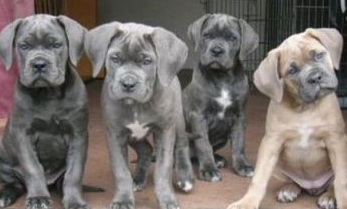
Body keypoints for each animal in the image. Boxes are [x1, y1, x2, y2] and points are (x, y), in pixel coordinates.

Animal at [0, 14, 89, 209]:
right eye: (24, 46)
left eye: (56, 45)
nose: (39, 64)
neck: (48, 93)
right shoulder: (22, 134)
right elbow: (33, 169)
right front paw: (38, 198)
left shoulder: (78, 134)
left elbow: (74, 173)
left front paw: (74, 201)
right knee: (15, 183)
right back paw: (6, 195)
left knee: (62, 181)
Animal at [84, 21, 193, 209]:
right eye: (115, 58)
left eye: (147, 61)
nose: (128, 84)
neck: (137, 105)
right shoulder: (115, 133)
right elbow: (121, 171)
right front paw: (122, 199)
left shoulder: (164, 130)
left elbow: (163, 169)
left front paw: (167, 199)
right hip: (133, 136)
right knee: (146, 149)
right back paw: (138, 179)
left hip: (177, 120)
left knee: (182, 144)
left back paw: (185, 178)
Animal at [184, 13, 260, 181]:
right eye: (207, 35)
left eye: (232, 38)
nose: (217, 50)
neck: (222, 77)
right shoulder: (198, 116)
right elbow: (203, 145)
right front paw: (208, 170)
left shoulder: (239, 116)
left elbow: (239, 144)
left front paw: (242, 166)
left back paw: (217, 159)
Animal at [228, 28, 347, 209]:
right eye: (292, 71)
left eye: (319, 55)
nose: (315, 77)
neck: (305, 107)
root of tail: (313, 188)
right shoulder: (271, 142)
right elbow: (259, 178)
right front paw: (247, 202)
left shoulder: (336, 141)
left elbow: (341, 180)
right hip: (277, 164)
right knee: (293, 182)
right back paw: (288, 190)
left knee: (332, 184)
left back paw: (328, 197)